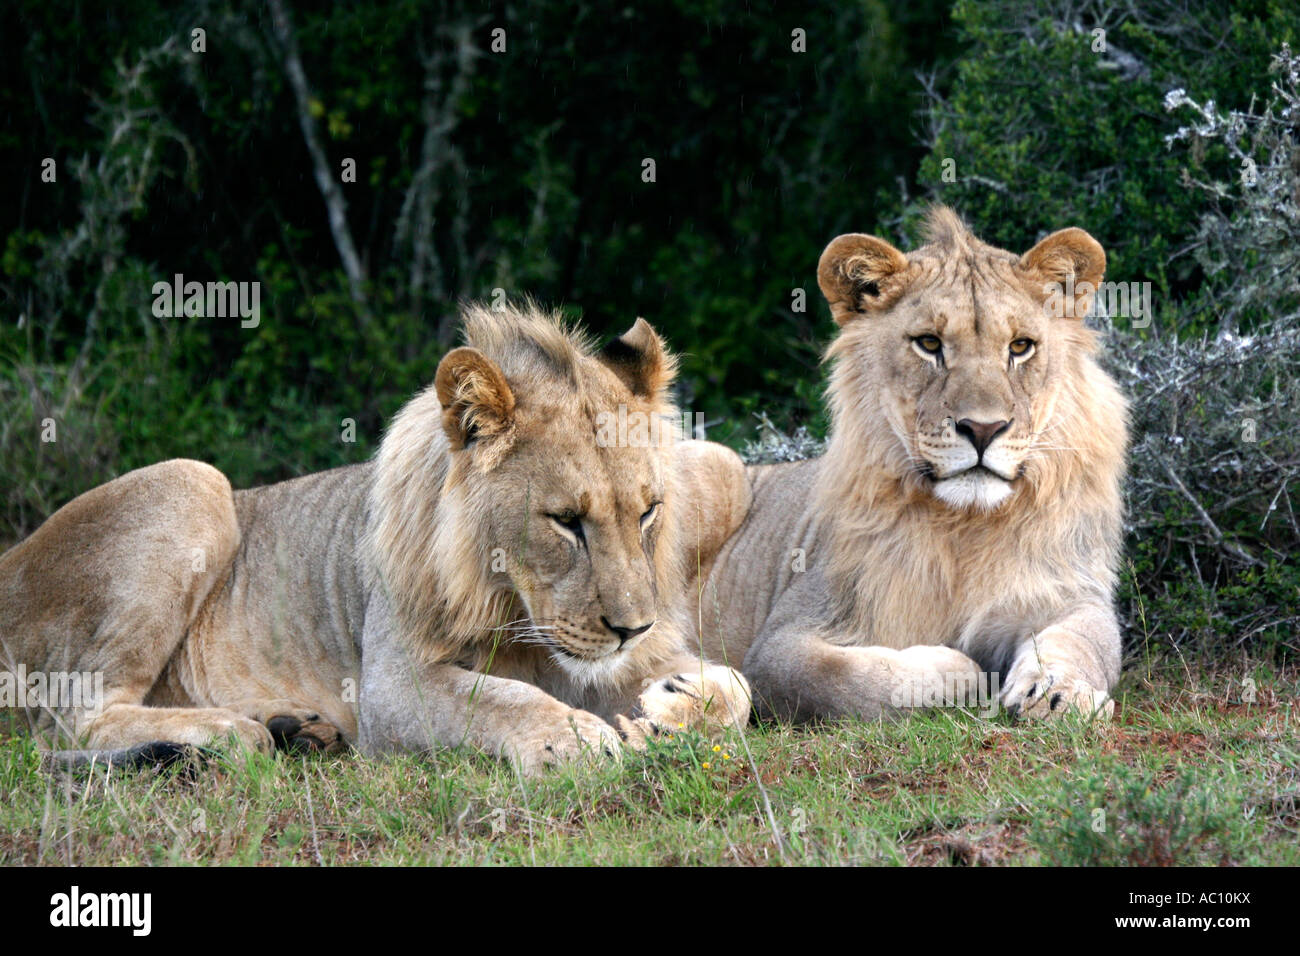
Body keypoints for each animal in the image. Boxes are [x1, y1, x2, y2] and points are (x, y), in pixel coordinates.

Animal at [0, 303, 751, 774]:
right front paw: (577, 740)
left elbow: (737, 688)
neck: (514, 605)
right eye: (565, 521)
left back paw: (295, 729)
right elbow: (500, 698)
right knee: (73, 719)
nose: (630, 629)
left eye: (648, 512)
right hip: (194, 480)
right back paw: (233, 734)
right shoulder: (391, 685)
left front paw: (669, 707)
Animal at [686, 207, 1128, 722]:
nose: (983, 429)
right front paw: (959, 667)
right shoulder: (783, 642)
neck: (966, 527)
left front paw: (1058, 693)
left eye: (1020, 347)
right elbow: (851, 681)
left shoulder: (1068, 593)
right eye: (929, 343)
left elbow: (1082, 642)